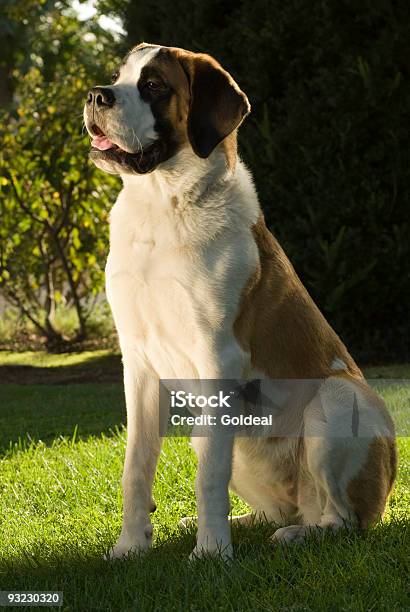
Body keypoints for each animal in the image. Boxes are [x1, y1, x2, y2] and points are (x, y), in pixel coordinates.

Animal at [84, 41, 398, 560]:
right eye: (116, 76)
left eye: (154, 85)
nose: (96, 95)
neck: (163, 205)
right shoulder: (139, 363)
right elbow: (136, 465)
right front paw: (130, 546)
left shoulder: (218, 356)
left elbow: (209, 475)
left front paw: (211, 553)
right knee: (279, 506)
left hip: (338, 399)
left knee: (342, 519)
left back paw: (296, 535)